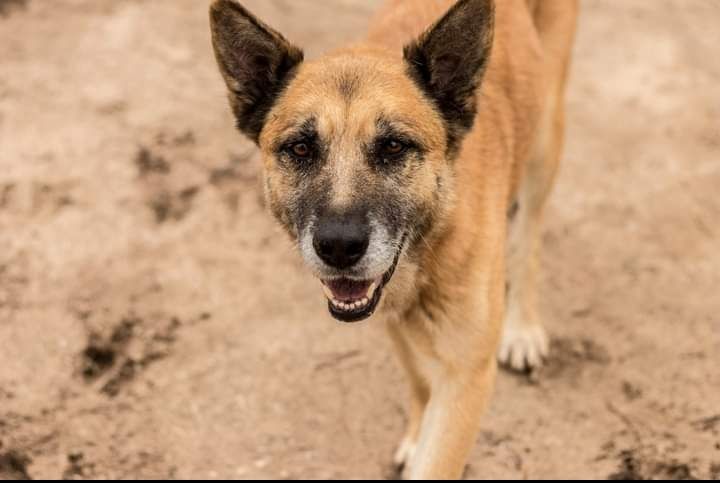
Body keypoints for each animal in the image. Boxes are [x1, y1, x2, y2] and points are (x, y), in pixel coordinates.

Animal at [210, 0, 580, 480]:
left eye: (393, 147)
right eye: (301, 149)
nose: (339, 247)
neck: (434, 234)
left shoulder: (467, 378)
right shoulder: (393, 321)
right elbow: (419, 384)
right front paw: (416, 436)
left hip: (544, 138)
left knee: (529, 231)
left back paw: (522, 327)